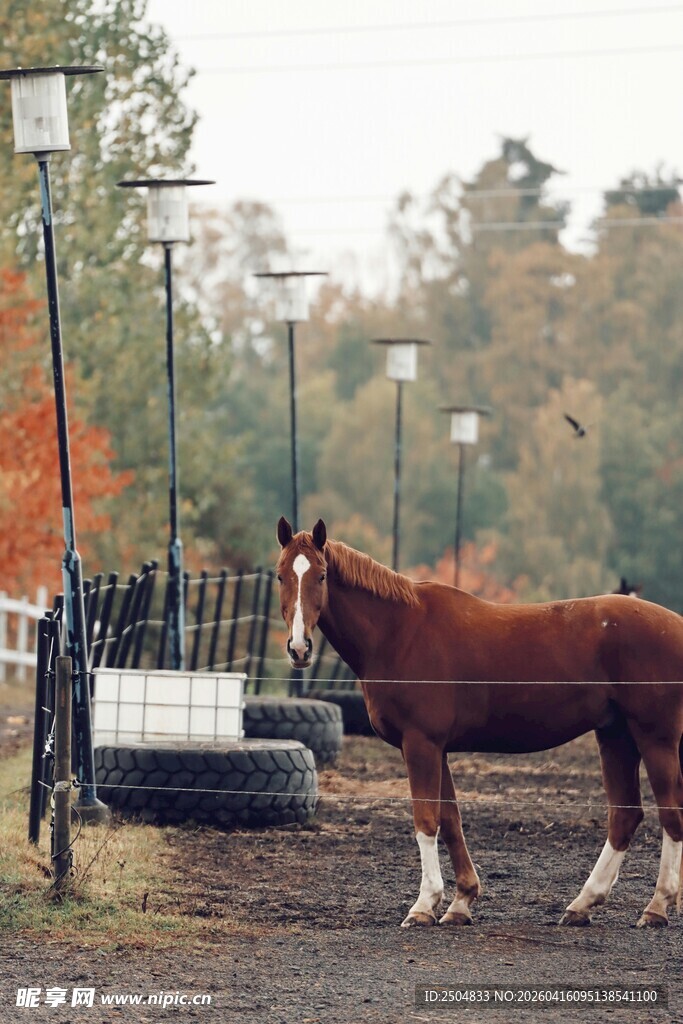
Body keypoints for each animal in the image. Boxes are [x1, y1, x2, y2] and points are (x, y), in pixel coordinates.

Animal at [275, 517, 683, 930]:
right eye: (280, 576)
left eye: (322, 575)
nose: (299, 648)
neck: (400, 632)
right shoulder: (436, 749)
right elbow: (450, 820)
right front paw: (461, 902)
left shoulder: (421, 744)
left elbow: (426, 820)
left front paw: (423, 905)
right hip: (616, 736)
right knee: (625, 815)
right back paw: (582, 904)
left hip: (655, 738)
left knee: (670, 814)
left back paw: (657, 906)